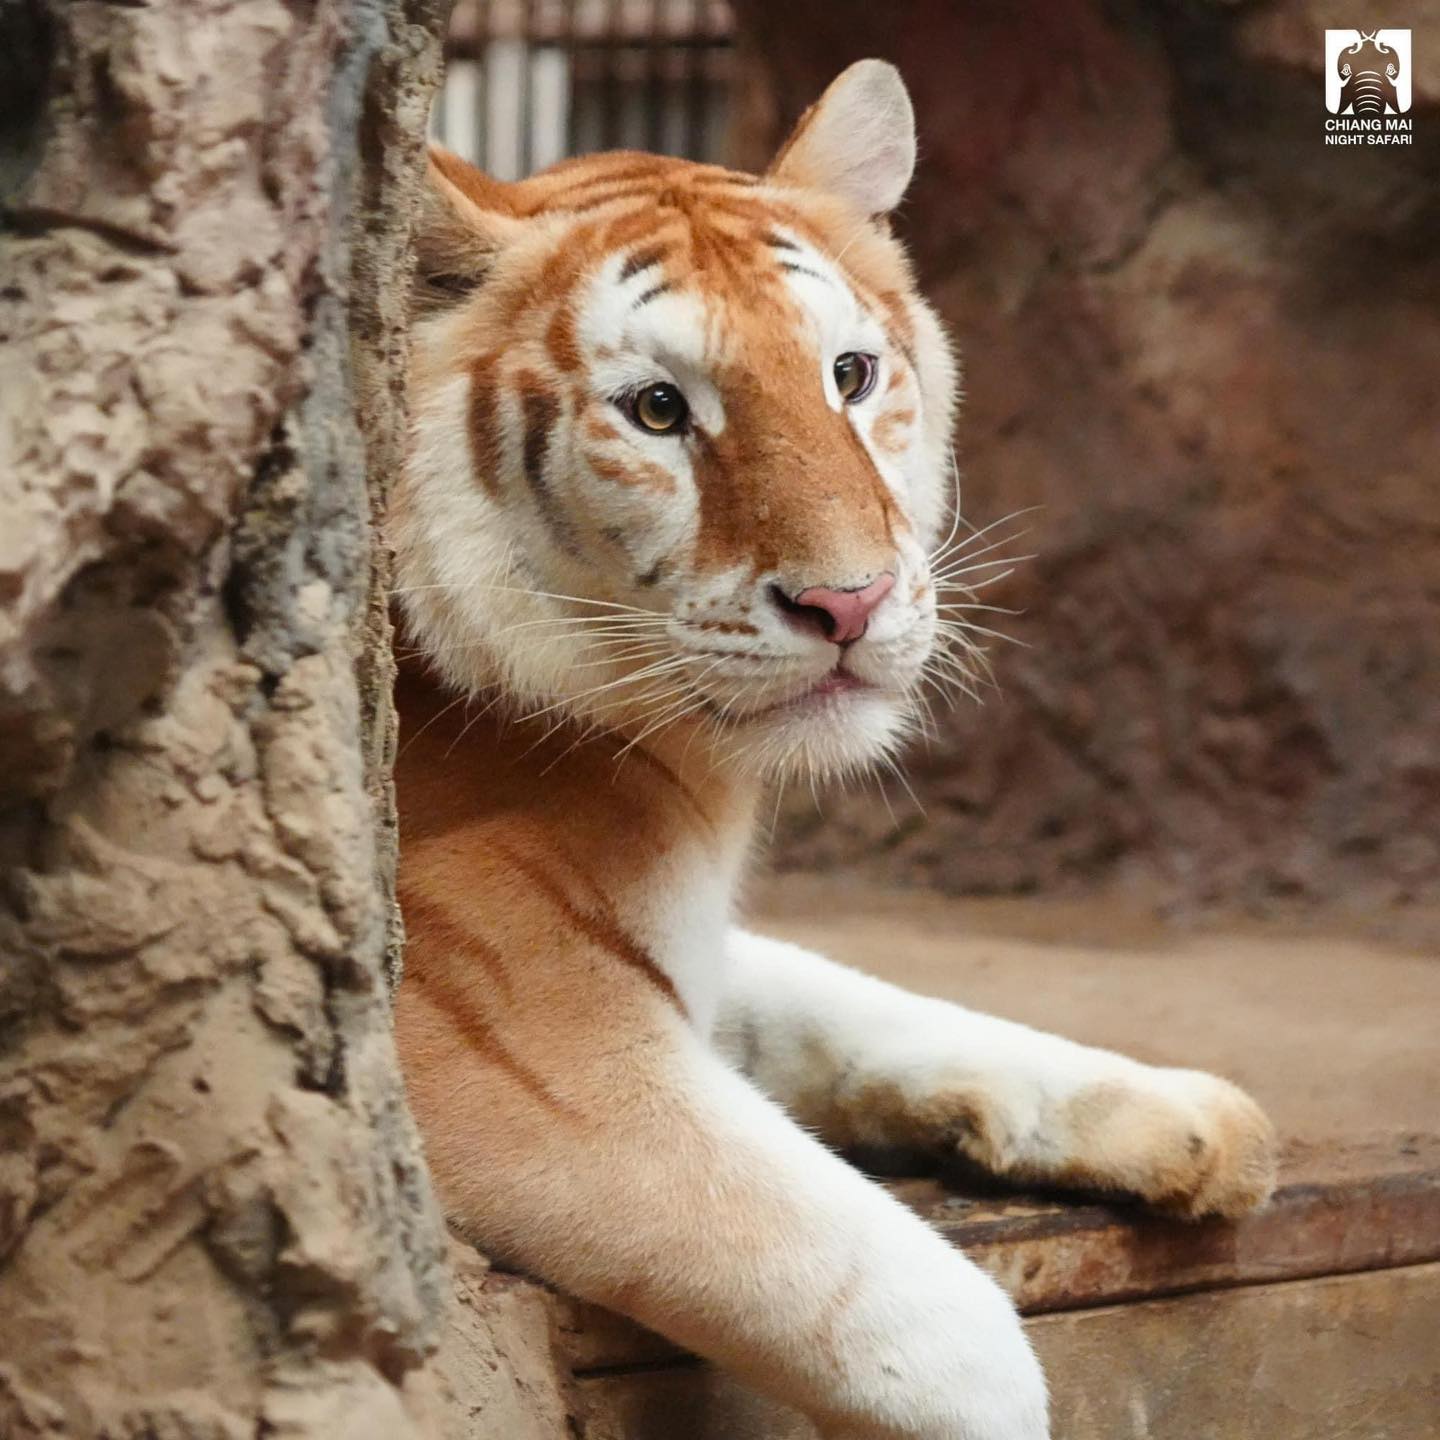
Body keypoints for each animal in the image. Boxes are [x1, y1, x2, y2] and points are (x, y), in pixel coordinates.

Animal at [391, 59, 1272, 1440]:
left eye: (849, 375)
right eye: (658, 410)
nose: (849, 604)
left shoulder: (685, 952)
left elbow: (860, 1000)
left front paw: (1182, 1112)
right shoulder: (513, 1056)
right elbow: (934, 1320)